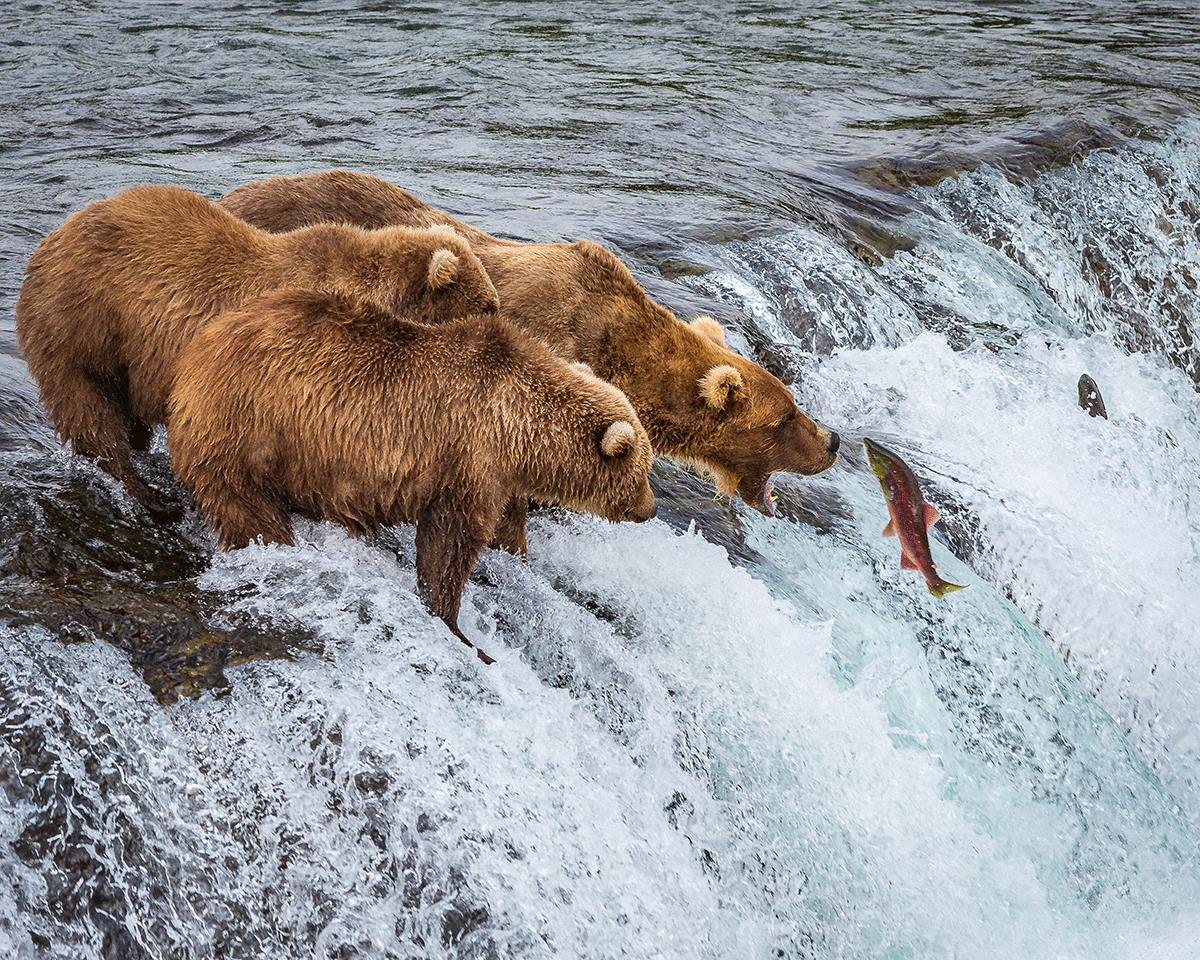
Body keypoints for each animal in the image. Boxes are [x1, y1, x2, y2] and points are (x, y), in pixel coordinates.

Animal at [15, 184, 500, 518]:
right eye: (488, 306)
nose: (503, 326)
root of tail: (47, 243)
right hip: (82, 324)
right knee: (90, 410)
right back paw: (149, 494)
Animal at [167, 287, 657, 664]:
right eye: (643, 471)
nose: (650, 509)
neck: (519, 427)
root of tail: (193, 357)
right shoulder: (468, 457)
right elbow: (449, 543)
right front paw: (458, 627)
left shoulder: (499, 476)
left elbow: (504, 528)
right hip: (248, 431)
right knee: (250, 511)